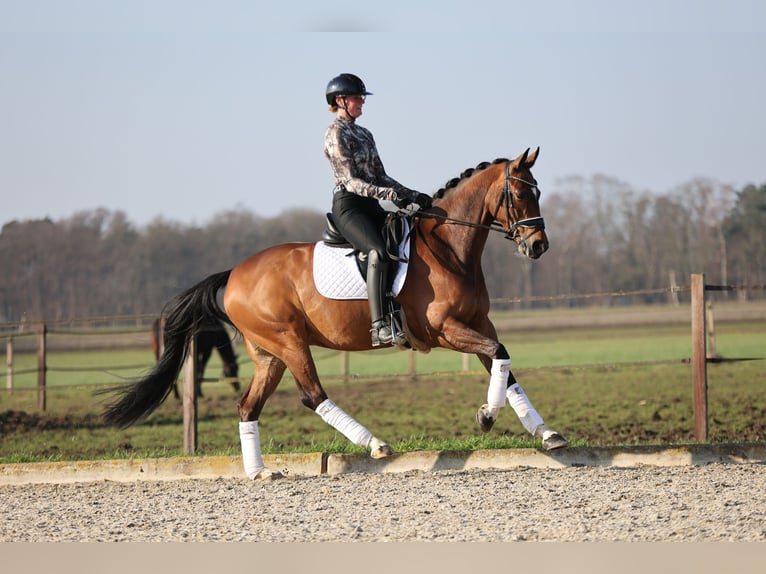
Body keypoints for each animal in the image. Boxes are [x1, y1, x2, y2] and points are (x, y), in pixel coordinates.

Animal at [103, 150, 568, 482]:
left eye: (538, 190)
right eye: (521, 193)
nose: (539, 245)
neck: (449, 250)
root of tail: (233, 274)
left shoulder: (478, 324)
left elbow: (504, 367)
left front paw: (548, 435)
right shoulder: (444, 330)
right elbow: (500, 354)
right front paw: (487, 416)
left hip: (269, 354)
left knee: (247, 404)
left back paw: (259, 471)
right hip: (290, 343)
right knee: (312, 394)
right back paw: (375, 444)